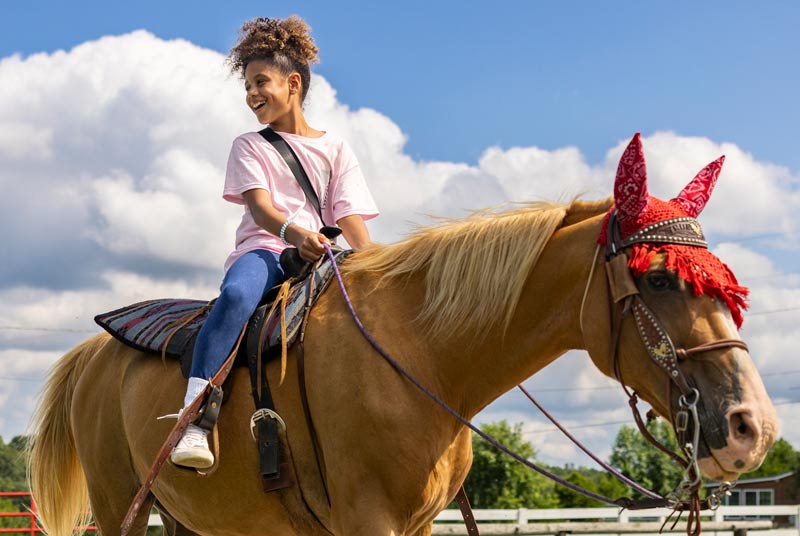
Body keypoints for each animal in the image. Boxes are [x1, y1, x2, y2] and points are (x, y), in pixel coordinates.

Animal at [29, 135, 776, 536]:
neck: (422, 360)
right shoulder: (367, 519)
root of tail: (95, 351)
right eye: (659, 279)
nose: (754, 427)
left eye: (729, 287)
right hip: (120, 503)